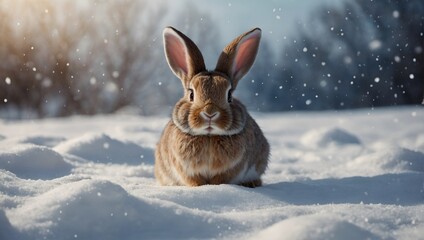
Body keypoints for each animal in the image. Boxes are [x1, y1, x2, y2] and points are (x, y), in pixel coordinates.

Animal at [154, 26, 270, 188]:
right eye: (191, 94)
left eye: (229, 96)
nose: (210, 113)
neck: (208, 136)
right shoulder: (185, 169)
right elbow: (193, 180)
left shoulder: (233, 168)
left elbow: (220, 179)